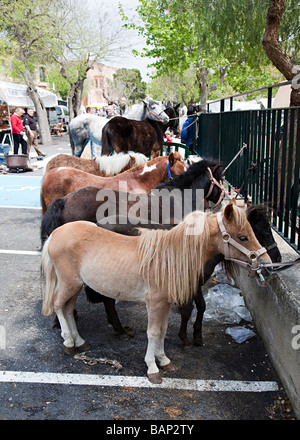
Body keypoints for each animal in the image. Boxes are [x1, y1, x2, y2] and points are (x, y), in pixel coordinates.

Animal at [41, 198, 270, 384]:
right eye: (243, 237)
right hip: (69, 283)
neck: (170, 258)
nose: (266, 263)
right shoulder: (154, 303)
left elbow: (163, 330)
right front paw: (152, 368)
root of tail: (54, 234)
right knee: (58, 306)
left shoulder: (166, 304)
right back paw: (69, 342)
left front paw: (163, 359)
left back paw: (80, 341)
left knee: (68, 310)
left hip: (75, 285)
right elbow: (152, 332)